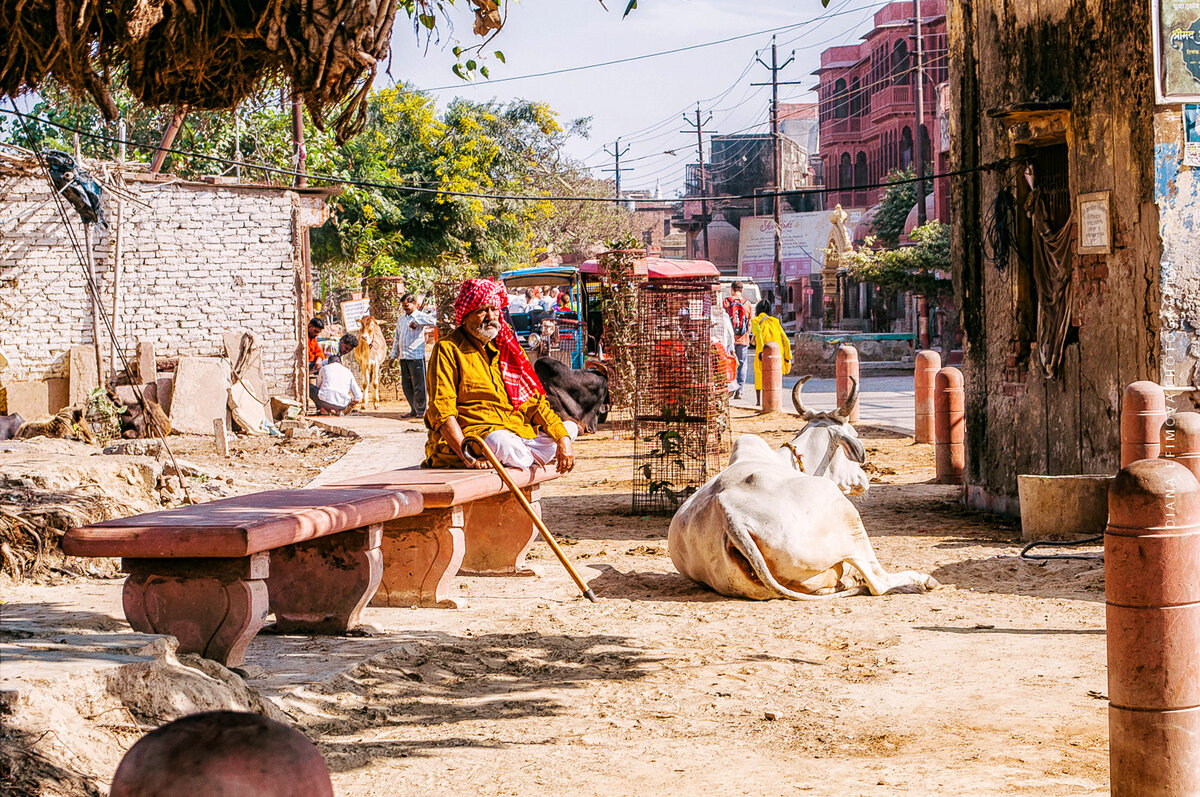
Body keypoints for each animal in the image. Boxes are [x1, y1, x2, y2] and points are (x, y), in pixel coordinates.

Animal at [667, 379, 936, 597]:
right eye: (854, 434)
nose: (863, 479)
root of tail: (731, 517)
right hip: (848, 516)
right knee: (877, 581)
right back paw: (921, 580)